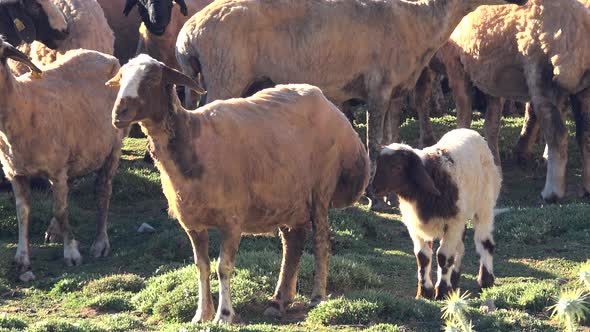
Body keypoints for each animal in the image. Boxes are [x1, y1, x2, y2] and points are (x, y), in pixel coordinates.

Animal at [0, 40, 126, 282]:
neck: (22, 106)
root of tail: (108, 57)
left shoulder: (57, 170)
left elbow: (61, 211)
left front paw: (72, 254)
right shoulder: (16, 173)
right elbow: (23, 213)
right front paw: (22, 259)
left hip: (113, 148)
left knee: (103, 192)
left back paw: (100, 243)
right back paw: (54, 231)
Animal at [104, 54, 368, 322]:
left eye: (153, 79)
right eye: (121, 78)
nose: (118, 113)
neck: (192, 142)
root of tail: (332, 109)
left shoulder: (232, 220)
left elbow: (223, 267)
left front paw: (224, 314)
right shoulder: (192, 223)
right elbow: (202, 266)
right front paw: (202, 314)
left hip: (320, 190)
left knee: (321, 241)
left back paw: (317, 296)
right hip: (290, 197)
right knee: (293, 244)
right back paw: (279, 301)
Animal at [376, 128, 502, 300]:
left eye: (397, 167)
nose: (373, 188)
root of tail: (470, 131)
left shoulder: (452, 223)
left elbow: (443, 256)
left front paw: (442, 291)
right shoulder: (415, 226)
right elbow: (422, 257)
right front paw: (425, 291)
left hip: (484, 206)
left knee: (484, 242)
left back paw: (485, 280)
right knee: (460, 246)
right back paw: (454, 280)